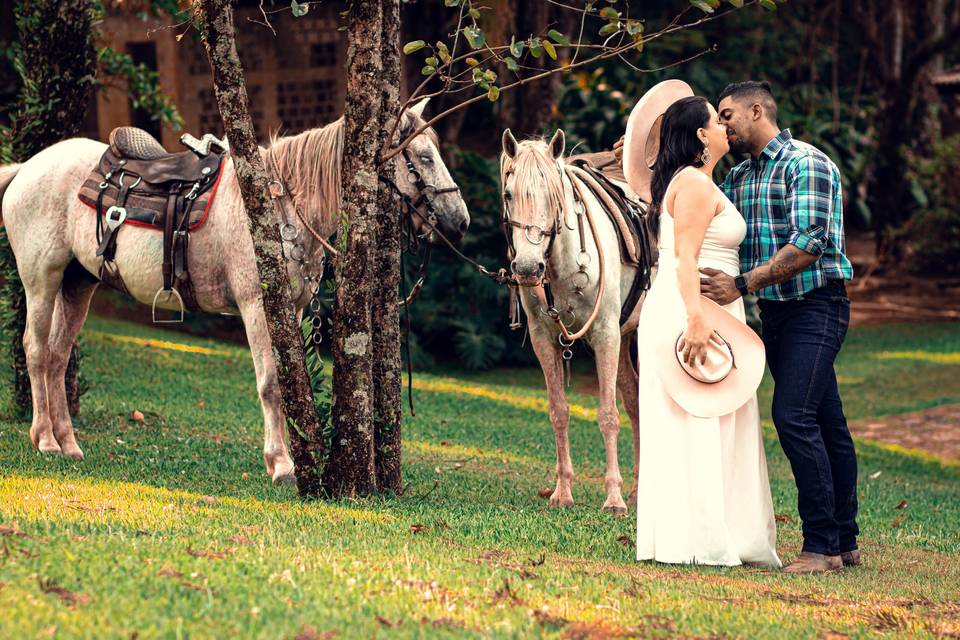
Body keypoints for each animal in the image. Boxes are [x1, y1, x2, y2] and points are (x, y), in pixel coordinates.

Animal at [0, 99, 468, 484]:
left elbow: (291, 380)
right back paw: (45, 439)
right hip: (42, 279)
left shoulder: (293, 309)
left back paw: (68, 443)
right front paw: (281, 465)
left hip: (78, 283)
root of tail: (27, 167)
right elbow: (271, 384)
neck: (280, 203)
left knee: (58, 357)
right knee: (37, 351)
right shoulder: (257, 305)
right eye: (424, 158)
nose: (460, 220)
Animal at [498, 130, 648, 516]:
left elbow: (608, 415)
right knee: (636, 402)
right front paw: (563, 492)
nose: (527, 269)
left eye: (554, 196)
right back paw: (640, 493)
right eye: (508, 194)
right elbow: (559, 411)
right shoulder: (544, 339)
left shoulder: (605, 335)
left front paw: (613, 499)